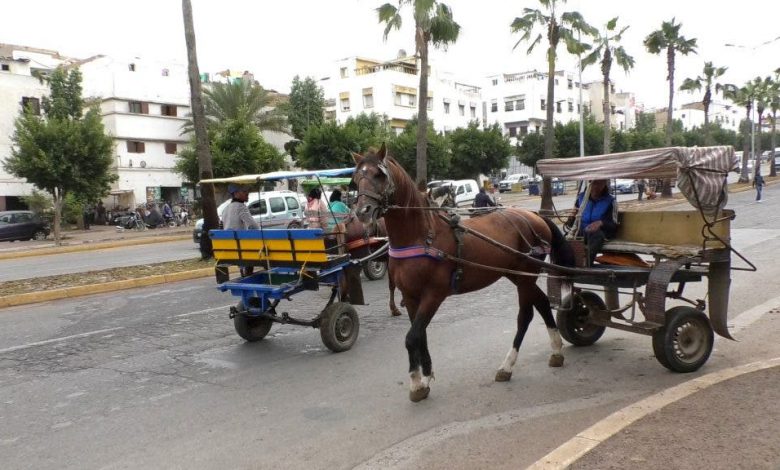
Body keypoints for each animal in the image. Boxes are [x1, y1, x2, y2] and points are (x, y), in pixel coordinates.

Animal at [352, 146, 572, 400]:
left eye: (380, 175)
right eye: (356, 179)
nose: (362, 211)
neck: (422, 236)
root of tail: (534, 216)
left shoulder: (433, 295)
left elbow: (412, 337)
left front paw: (416, 383)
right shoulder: (410, 296)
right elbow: (420, 335)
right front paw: (425, 377)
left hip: (526, 274)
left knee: (525, 316)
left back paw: (507, 365)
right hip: (515, 274)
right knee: (543, 302)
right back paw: (556, 350)